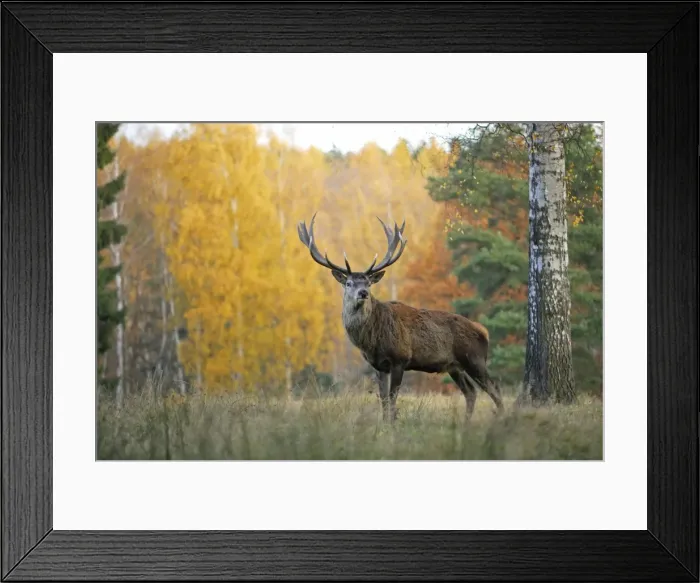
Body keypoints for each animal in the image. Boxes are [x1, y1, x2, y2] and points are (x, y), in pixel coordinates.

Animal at [297, 212, 504, 423]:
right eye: (348, 283)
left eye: (368, 283)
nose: (363, 293)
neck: (371, 340)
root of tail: (483, 330)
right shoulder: (379, 366)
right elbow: (383, 398)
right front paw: (384, 424)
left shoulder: (400, 358)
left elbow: (392, 397)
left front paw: (391, 423)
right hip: (454, 366)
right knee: (470, 391)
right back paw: (466, 423)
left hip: (474, 358)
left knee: (494, 388)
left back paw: (501, 419)